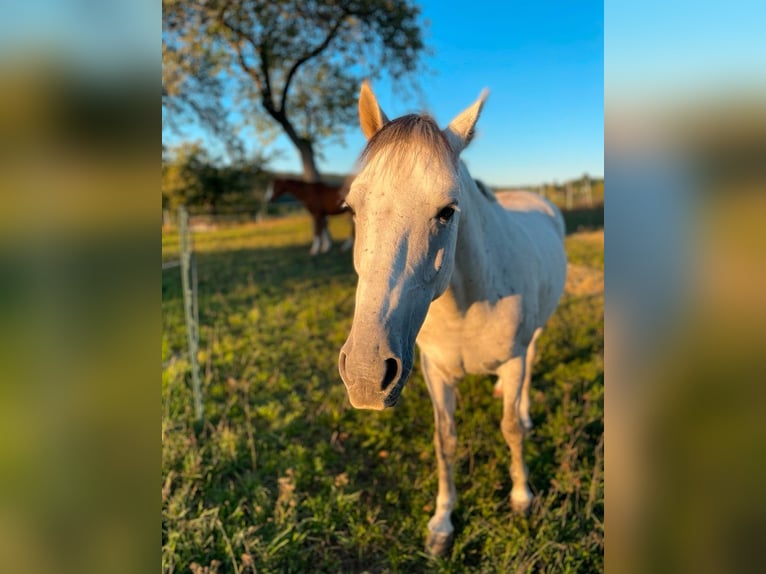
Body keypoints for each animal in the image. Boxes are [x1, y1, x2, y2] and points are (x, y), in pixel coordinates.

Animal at [340, 82, 568, 560]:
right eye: (351, 208)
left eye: (448, 210)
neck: (465, 309)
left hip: (534, 337)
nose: (366, 376)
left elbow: (510, 429)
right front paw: (442, 523)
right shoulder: (435, 372)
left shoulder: (513, 360)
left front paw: (522, 497)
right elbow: (444, 441)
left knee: (531, 369)